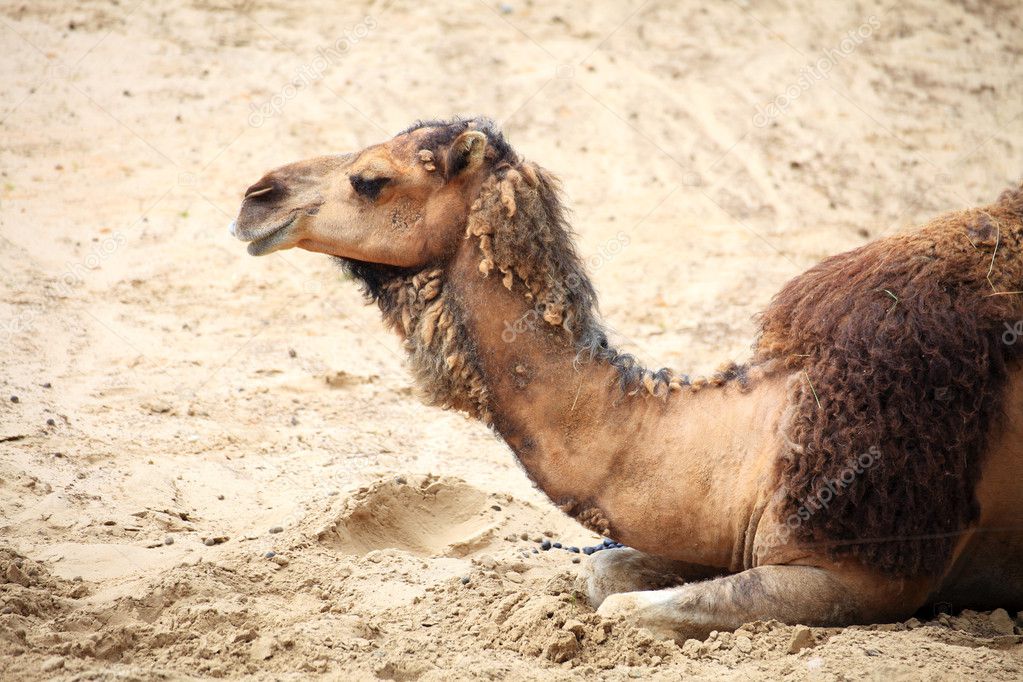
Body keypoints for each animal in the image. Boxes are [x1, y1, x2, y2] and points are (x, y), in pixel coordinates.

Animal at [230, 117, 1023, 641]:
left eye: (370, 179)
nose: (256, 197)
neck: (768, 428)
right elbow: (603, 574)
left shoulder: (866, 573)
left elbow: (621, 609)